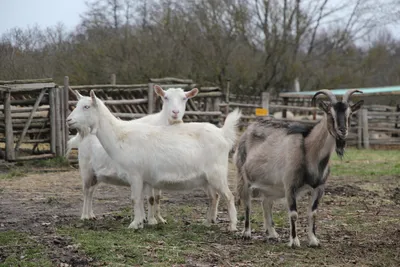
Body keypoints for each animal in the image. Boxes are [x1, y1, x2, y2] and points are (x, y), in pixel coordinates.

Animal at [67, 90, 241, 232]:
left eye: (86, 106)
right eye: (76, 105)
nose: (69, 120)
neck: (120, 136)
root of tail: (223, 134)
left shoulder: (135, 174)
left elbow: (135, 199)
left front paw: (135, 224)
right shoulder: (144, 179)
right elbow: (145, 199)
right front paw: (143, 221)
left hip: (217, 173)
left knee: (228, 196)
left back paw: (232, 226)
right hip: (206, 178)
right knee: (214, 197)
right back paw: (207, 222)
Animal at [236, 90, 364, 249]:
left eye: (350, 113)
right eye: (330, 113)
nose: (342, 131)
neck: (309, 151)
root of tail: (249, 128)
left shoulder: (319, 188)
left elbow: (313, 213)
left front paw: (314, 240)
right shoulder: (290, 185)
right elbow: (294, 214)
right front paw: (294, 241)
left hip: (271, 185)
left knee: (266, 203)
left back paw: (272, 234)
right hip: (243, 177)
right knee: (247, 203)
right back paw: (246, 233)